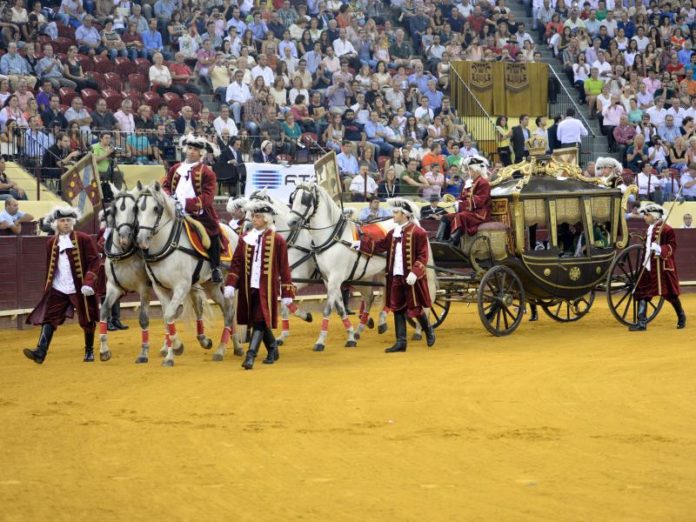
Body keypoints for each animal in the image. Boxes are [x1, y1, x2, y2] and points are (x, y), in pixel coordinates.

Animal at [136, 181, 242, 364]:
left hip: (229, 282)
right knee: (226, 309)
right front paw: (170, 354)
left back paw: (221, 350)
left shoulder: (181, 286)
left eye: (156, 208)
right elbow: (167, 318)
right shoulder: (160, 288)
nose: (142, 240)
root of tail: (233, 232)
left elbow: (169, 315)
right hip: (211, 285)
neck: (168, 243)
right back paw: (234, 346)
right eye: (137, 208)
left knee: (230, 311)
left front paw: (176, 348)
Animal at [286, 182, 438, 350]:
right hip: (383, 272)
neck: (333, 237)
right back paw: (377, 324)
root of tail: (412, 221)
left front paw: (320, 341)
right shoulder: (328, 280)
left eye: (306, 199)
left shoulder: (335, 278)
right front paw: (351, 337)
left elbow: (327, 310)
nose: (291, 222)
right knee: (382, 295)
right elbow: (340, 308)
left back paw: (420, 330)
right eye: (293, 198)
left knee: (423, 298)